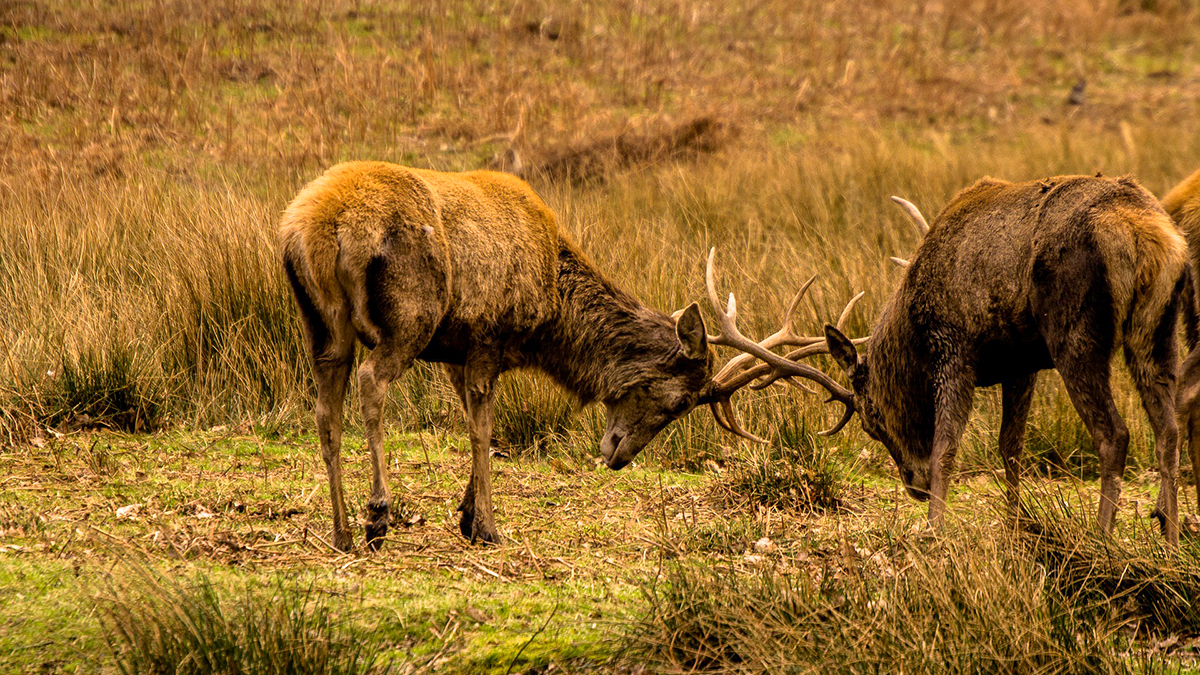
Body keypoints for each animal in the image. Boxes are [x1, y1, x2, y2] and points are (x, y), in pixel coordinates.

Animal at [279, 161, 859, 551]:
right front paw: (487, 527)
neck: (550, 316)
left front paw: (466, 514)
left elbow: (471, 421)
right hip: (410, 316)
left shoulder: (456, 351)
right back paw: (377, 516)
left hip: (322, 327)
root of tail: (314, 228)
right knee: (371, 383)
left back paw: (342, 532)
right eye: (677, 402)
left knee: (325, 410)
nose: (619, 457)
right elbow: (483, 430)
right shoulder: (487, 335)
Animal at [706, 174, 1191, 545]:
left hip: (1074, 330)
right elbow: (1010, 448)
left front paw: (934, 528)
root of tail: (1147, 233)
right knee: (1168, 429)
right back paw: (1168, 536)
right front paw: (1015, 525)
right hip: (1159, 328)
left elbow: (946, 447)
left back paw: (1102, 537)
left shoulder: (955, 346)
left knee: (1115, 433)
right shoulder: (1021, 363)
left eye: (871, 421)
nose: (915, 488)